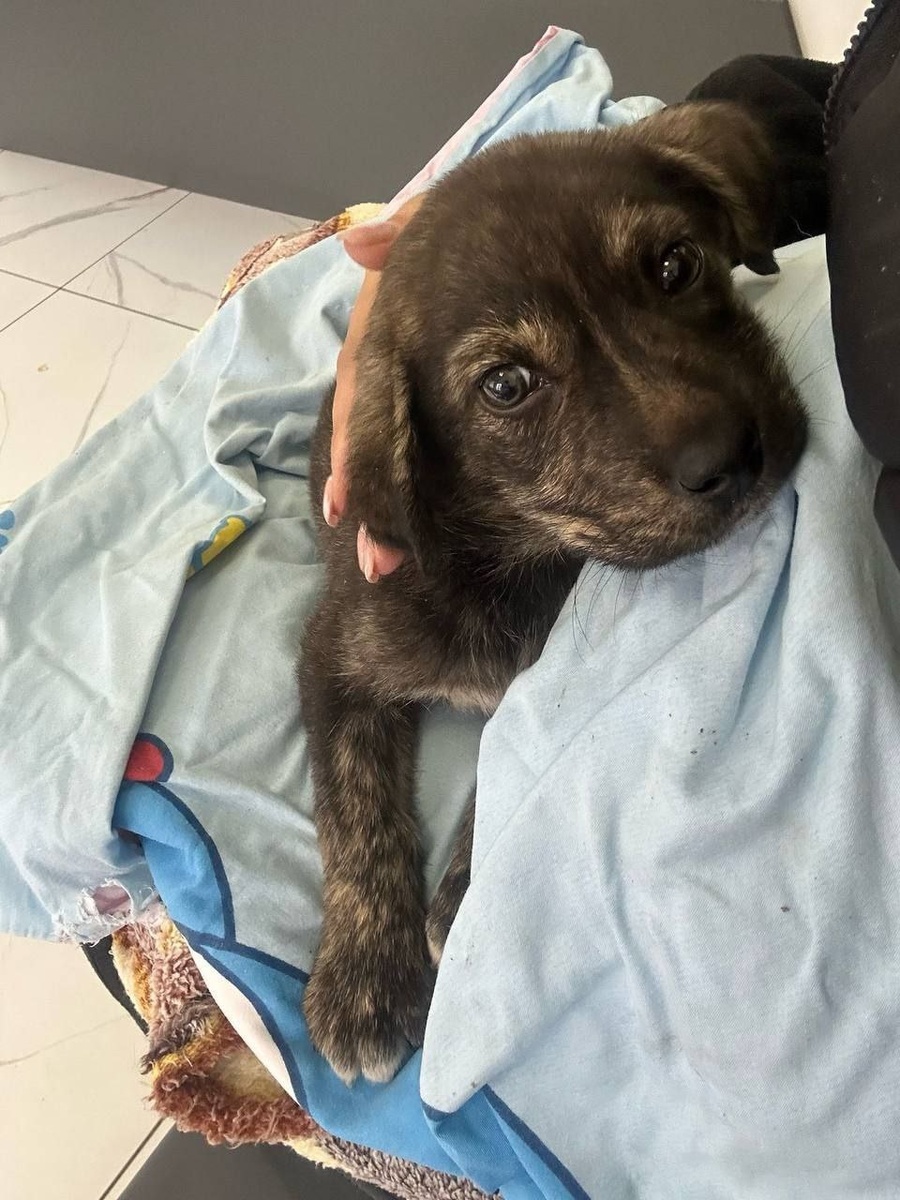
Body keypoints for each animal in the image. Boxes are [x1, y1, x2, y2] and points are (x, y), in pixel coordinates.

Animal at [299, 101, 808, 1084]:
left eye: (673, 264)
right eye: (506, 386)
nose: (727, 459)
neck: (521, 557)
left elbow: (512, 757)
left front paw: (463, 891)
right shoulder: (333, 654)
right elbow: (354, 805)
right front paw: (364, 976)